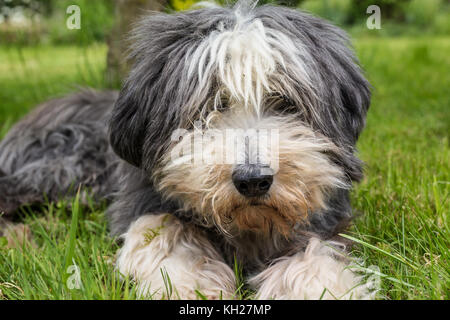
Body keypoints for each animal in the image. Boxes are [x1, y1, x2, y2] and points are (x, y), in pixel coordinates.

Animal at [0, 1, 372, 300]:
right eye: (212, 105)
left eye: (284, 103)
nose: (253, 180)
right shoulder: (140, 201)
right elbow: (164, 230)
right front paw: (191, 286)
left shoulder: (322, 220)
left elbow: (317, 255)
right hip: (62, 167)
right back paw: (19, 239)